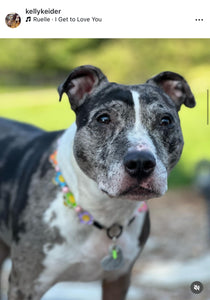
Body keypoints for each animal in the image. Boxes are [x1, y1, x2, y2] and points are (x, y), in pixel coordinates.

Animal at [0, 66, 195, 300]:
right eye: (103, 118)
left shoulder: (118, 279)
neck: (104, 211)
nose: (140, 162)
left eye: (165, 120)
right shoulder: (25, 284)